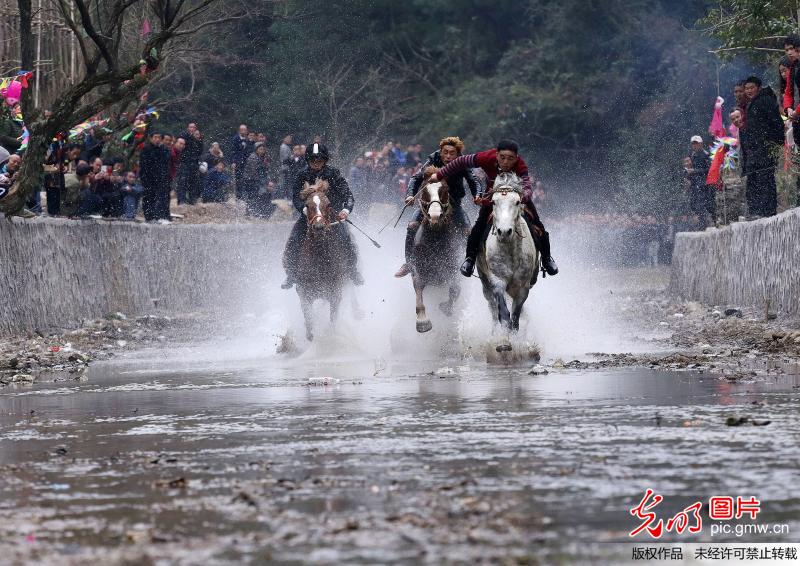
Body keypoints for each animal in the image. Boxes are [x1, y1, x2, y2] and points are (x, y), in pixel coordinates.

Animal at [296, 181, 348, 342]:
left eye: (328, 204)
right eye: (307, 205)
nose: (319, 227)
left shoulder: (335, 293)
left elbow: (332, 322)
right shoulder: (304, 292)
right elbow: (309, 320)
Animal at [410, 181, 460, 332]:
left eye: (445, 191)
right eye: (425, 192)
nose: (435, 216)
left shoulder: (453, 267)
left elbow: (455, 288)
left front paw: (447, 308)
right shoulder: (419, 268)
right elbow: (418, 286)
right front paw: (422, 321)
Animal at [476, 173, 536, 344]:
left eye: (517, 201)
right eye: (493, 202)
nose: (504, 232)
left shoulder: (523, 288)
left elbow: (515, 317)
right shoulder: (497, 281)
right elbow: (503, 313)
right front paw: (503, 343)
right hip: (485, 283)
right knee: (492, 308)